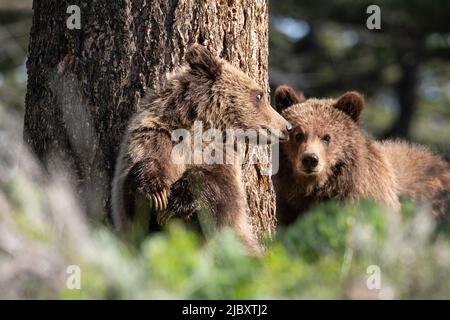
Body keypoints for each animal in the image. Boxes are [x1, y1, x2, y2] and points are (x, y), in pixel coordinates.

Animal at [110, 45, 290, 255]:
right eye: (259, 95)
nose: (287, 127)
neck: (193, 130)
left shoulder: (219, 157)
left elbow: (220, 195)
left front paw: (177, 203)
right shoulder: (152, 138)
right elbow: (133, 201)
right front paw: (157, 193)